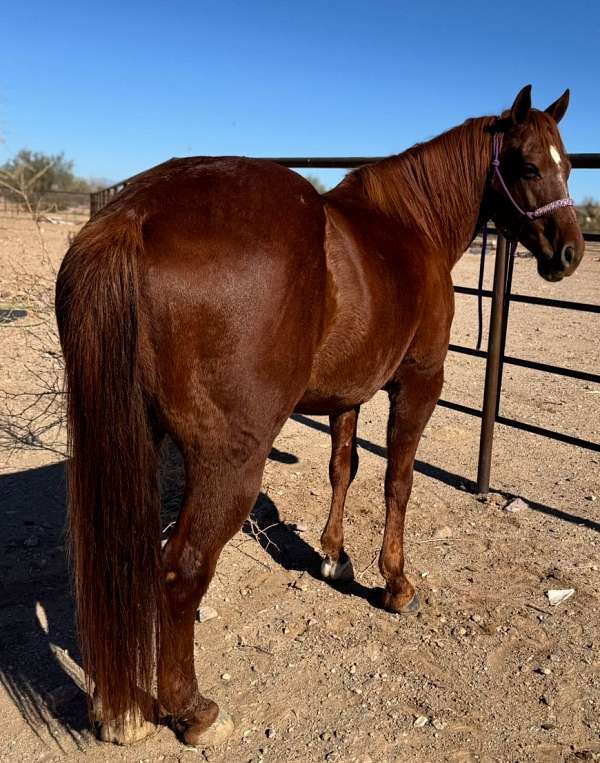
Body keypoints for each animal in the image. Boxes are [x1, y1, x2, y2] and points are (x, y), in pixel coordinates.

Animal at [55, 85, 580, 748]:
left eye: (568, 165)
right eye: (528, 166)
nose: (571, 252)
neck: (410, 226)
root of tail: (134, 216)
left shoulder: (346, 394)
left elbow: (342, 468)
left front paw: (333, 556)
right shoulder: (419, 382)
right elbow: (397, 481)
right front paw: (395, 583)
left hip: (132, 443)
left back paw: (117, 708)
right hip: (229, 462)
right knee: (181, 570)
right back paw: (190, 709)